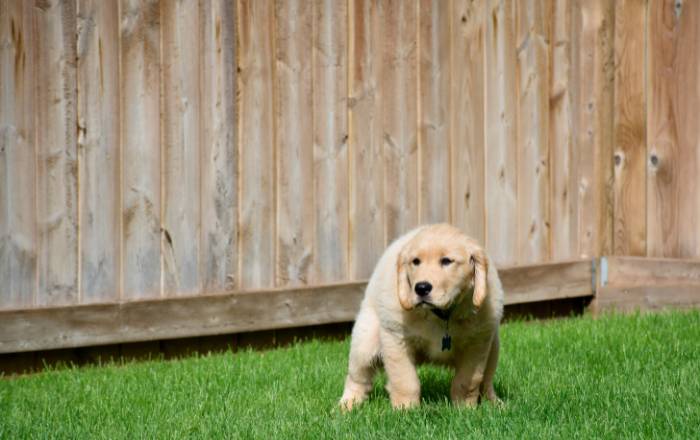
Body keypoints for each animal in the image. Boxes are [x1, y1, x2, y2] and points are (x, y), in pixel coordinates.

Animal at [340, 225, 504, 410]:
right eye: (416, 261)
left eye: (446, 261)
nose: (421, 288)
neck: (441, 315)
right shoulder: (396, 338)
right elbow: (405, 380)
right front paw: (405, 409)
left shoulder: (477, 343)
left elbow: (468, 381)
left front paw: (465, 408)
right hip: (365, 342)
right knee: (357, 377)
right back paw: (347, 405)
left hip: (494, 347)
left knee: (487, 381)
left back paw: (495, 403)